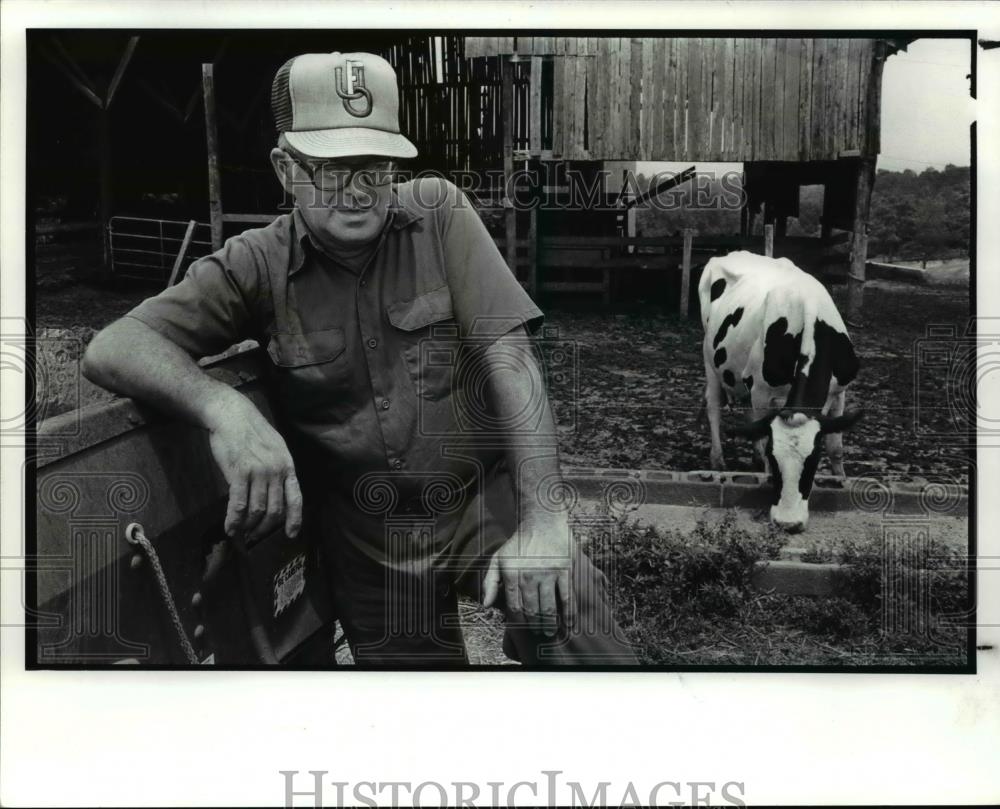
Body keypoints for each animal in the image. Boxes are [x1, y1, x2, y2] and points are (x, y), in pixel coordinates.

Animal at [700, 249, 864, 532]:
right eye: (775, 461)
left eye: (813, 462)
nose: (789, 523)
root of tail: (731, 253)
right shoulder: (761, 390)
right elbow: (764, 436)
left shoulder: (840, 389)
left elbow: (836, 446)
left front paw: (840, 480)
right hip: (710, 359)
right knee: (714, 406)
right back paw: (718, 461)